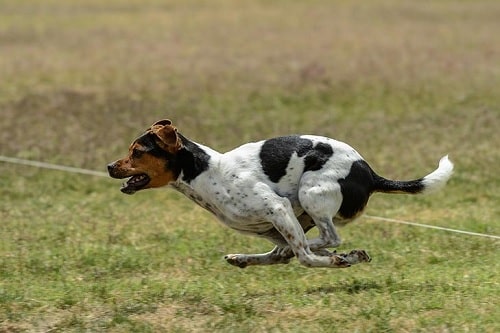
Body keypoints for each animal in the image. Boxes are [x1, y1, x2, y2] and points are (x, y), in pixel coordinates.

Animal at [108, 119, 454, 268]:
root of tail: (368, 173)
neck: (210, 172)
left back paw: (332, 255)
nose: (110, 166)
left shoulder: (277, 207)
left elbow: (304, 255)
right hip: (300, 211)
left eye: (137, 151)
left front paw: (329, 260)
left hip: (311, 193)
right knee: (299, 246)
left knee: (325, 239)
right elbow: (285, 249)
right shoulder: (272, 224)